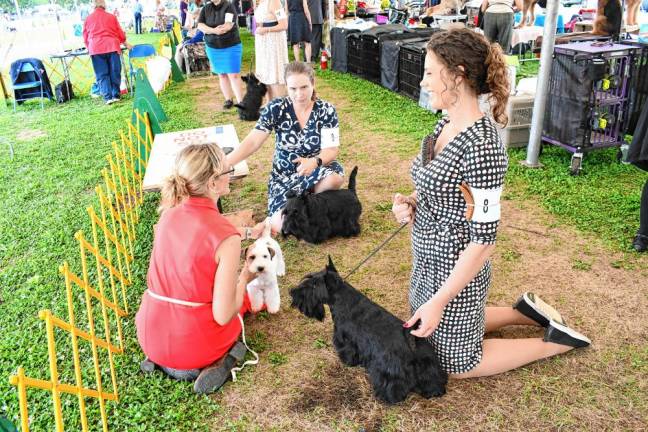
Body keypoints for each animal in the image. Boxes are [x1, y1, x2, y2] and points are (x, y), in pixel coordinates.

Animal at [292, 255, 448, 404]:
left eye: (313, 285)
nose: (293, 293)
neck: (341, 297)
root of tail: (411, 340)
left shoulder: (345, 340)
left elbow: (348, 351)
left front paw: (347, 362)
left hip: (389, 369)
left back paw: (387, 397)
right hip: (428, 363)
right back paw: (433, 391)